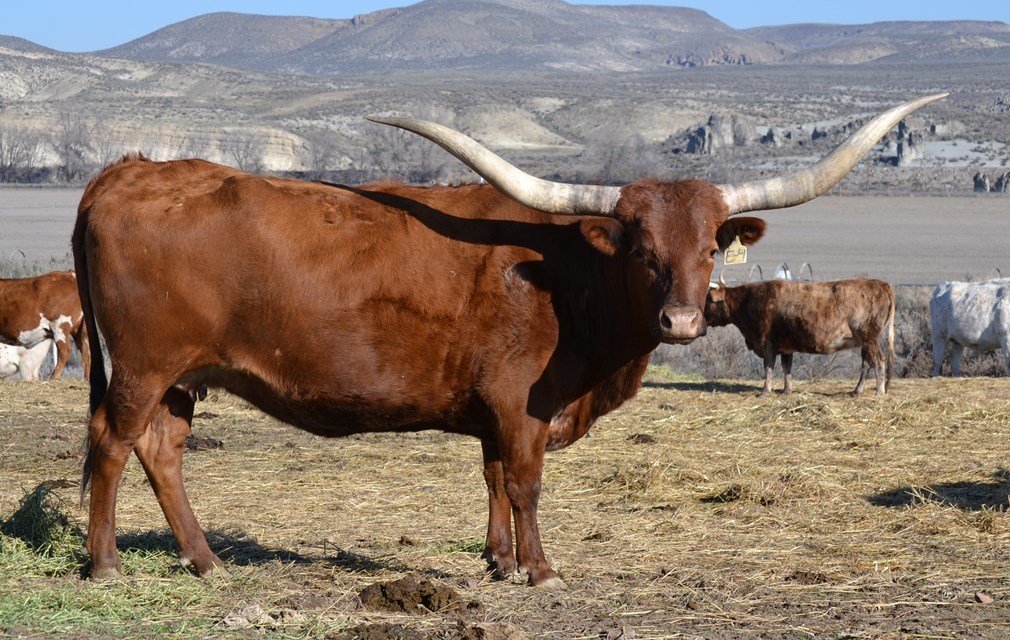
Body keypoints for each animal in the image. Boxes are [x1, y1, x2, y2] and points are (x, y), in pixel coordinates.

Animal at [705, 278, 896, 396]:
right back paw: (857, 391)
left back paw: (879, 391)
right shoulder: (785, 347)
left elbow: (768, 367)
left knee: (878, 361)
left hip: (870, 339)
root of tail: (882, 284)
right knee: (866, 364)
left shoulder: (767, 344)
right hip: (865, 342)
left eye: (708, 301)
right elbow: (786, 367)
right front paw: (786, 390)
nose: (702, 317)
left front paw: (766, 391)